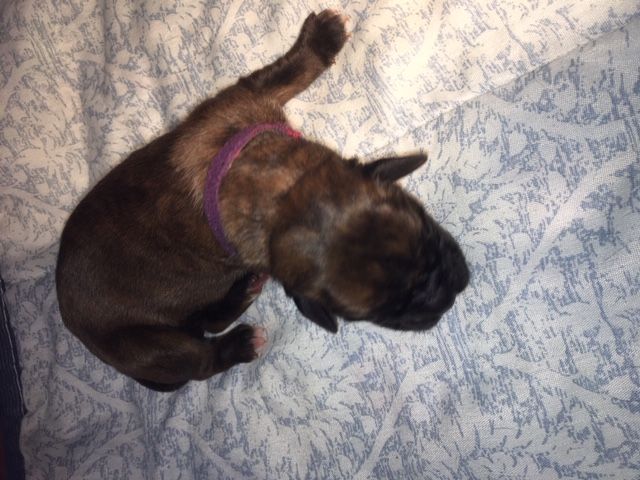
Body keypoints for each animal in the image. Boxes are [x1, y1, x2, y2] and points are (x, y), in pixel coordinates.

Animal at [55, 10, 469, 392]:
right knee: (200, 357)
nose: (449, 294)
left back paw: (243, 292)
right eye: (381, 314)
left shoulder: (247, 97)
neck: (277, 197)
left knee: (208, 319)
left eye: (427, 233)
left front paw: (322, 39)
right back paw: (240, 343)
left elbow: (287, 73)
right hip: (149, 344)